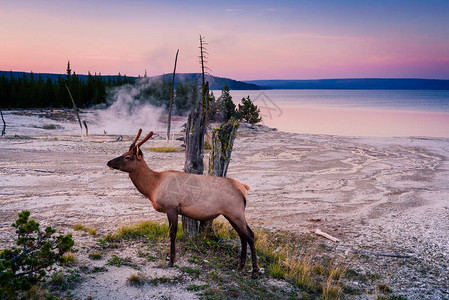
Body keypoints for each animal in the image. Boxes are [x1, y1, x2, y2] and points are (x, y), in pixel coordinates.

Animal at [106, 128, 260, 276]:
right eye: (123, 153)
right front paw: (170, 257)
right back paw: (241, 266)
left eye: (127, 157)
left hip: (235, 212)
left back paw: (255, 271)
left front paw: (171, 260)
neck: (152, 187)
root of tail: (243, 188)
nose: (108, 162)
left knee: (250, 235)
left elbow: (172, 233)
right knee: (242, 236)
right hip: (230, 214)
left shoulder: (172, 207)